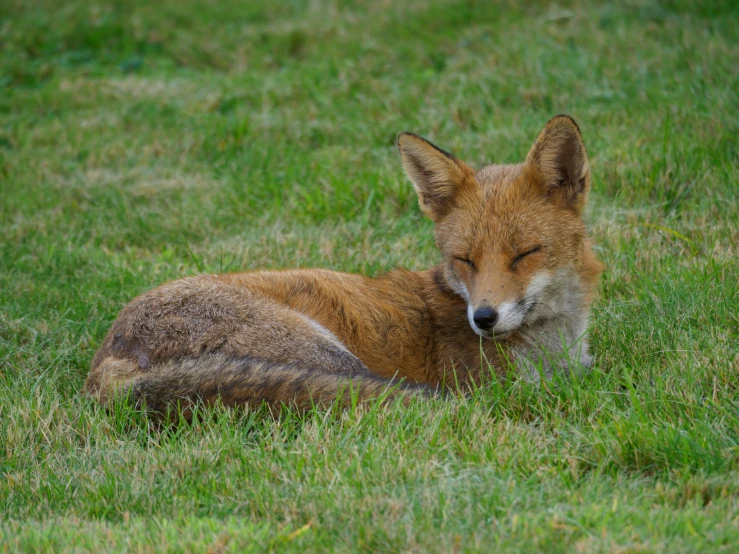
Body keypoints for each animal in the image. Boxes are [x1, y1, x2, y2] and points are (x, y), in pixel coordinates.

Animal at [84, 113, 604, 414]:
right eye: (464, 260)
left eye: (524, 254)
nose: (484, 318)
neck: (552, 348)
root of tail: (108, 360)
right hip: (328, 355)